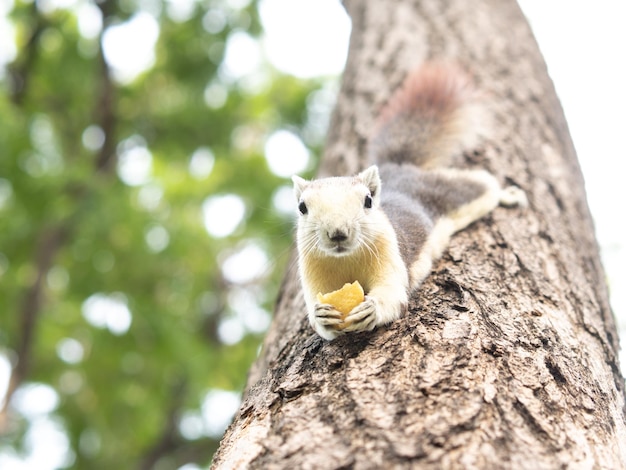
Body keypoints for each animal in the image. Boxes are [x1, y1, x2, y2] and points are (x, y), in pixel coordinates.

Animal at [290, 63, 524, 342]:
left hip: (451, 194)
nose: (337, 233)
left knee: (482, 183)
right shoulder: (312, 271)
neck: (346, 259)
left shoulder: (391, 255)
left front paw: (372, 308)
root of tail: (398, 166)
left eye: (368, 201)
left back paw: (509, 195)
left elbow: (392, 294)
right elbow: (319, 320)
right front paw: (320, 315)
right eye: (302, 207)